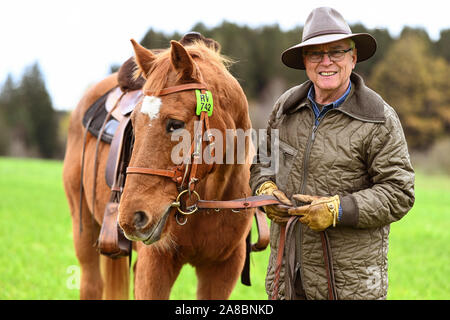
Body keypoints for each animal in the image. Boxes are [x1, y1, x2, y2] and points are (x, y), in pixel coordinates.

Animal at [62, 38, 255, 300]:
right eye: (133, 123)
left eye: (175, 124)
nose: (132, 217)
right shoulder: (155, 265)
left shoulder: (223, 269)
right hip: (83, 227)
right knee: (91, 284)